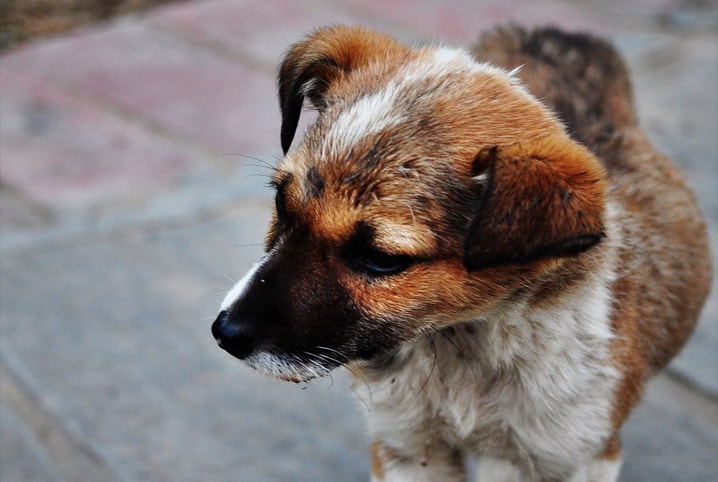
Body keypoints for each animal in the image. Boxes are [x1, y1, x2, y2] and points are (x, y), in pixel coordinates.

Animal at [211, 26, 712, 482]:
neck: (462, 346)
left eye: (382, 258)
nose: (223, 334)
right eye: (281, 203)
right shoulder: (408, 446)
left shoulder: (559, 455)